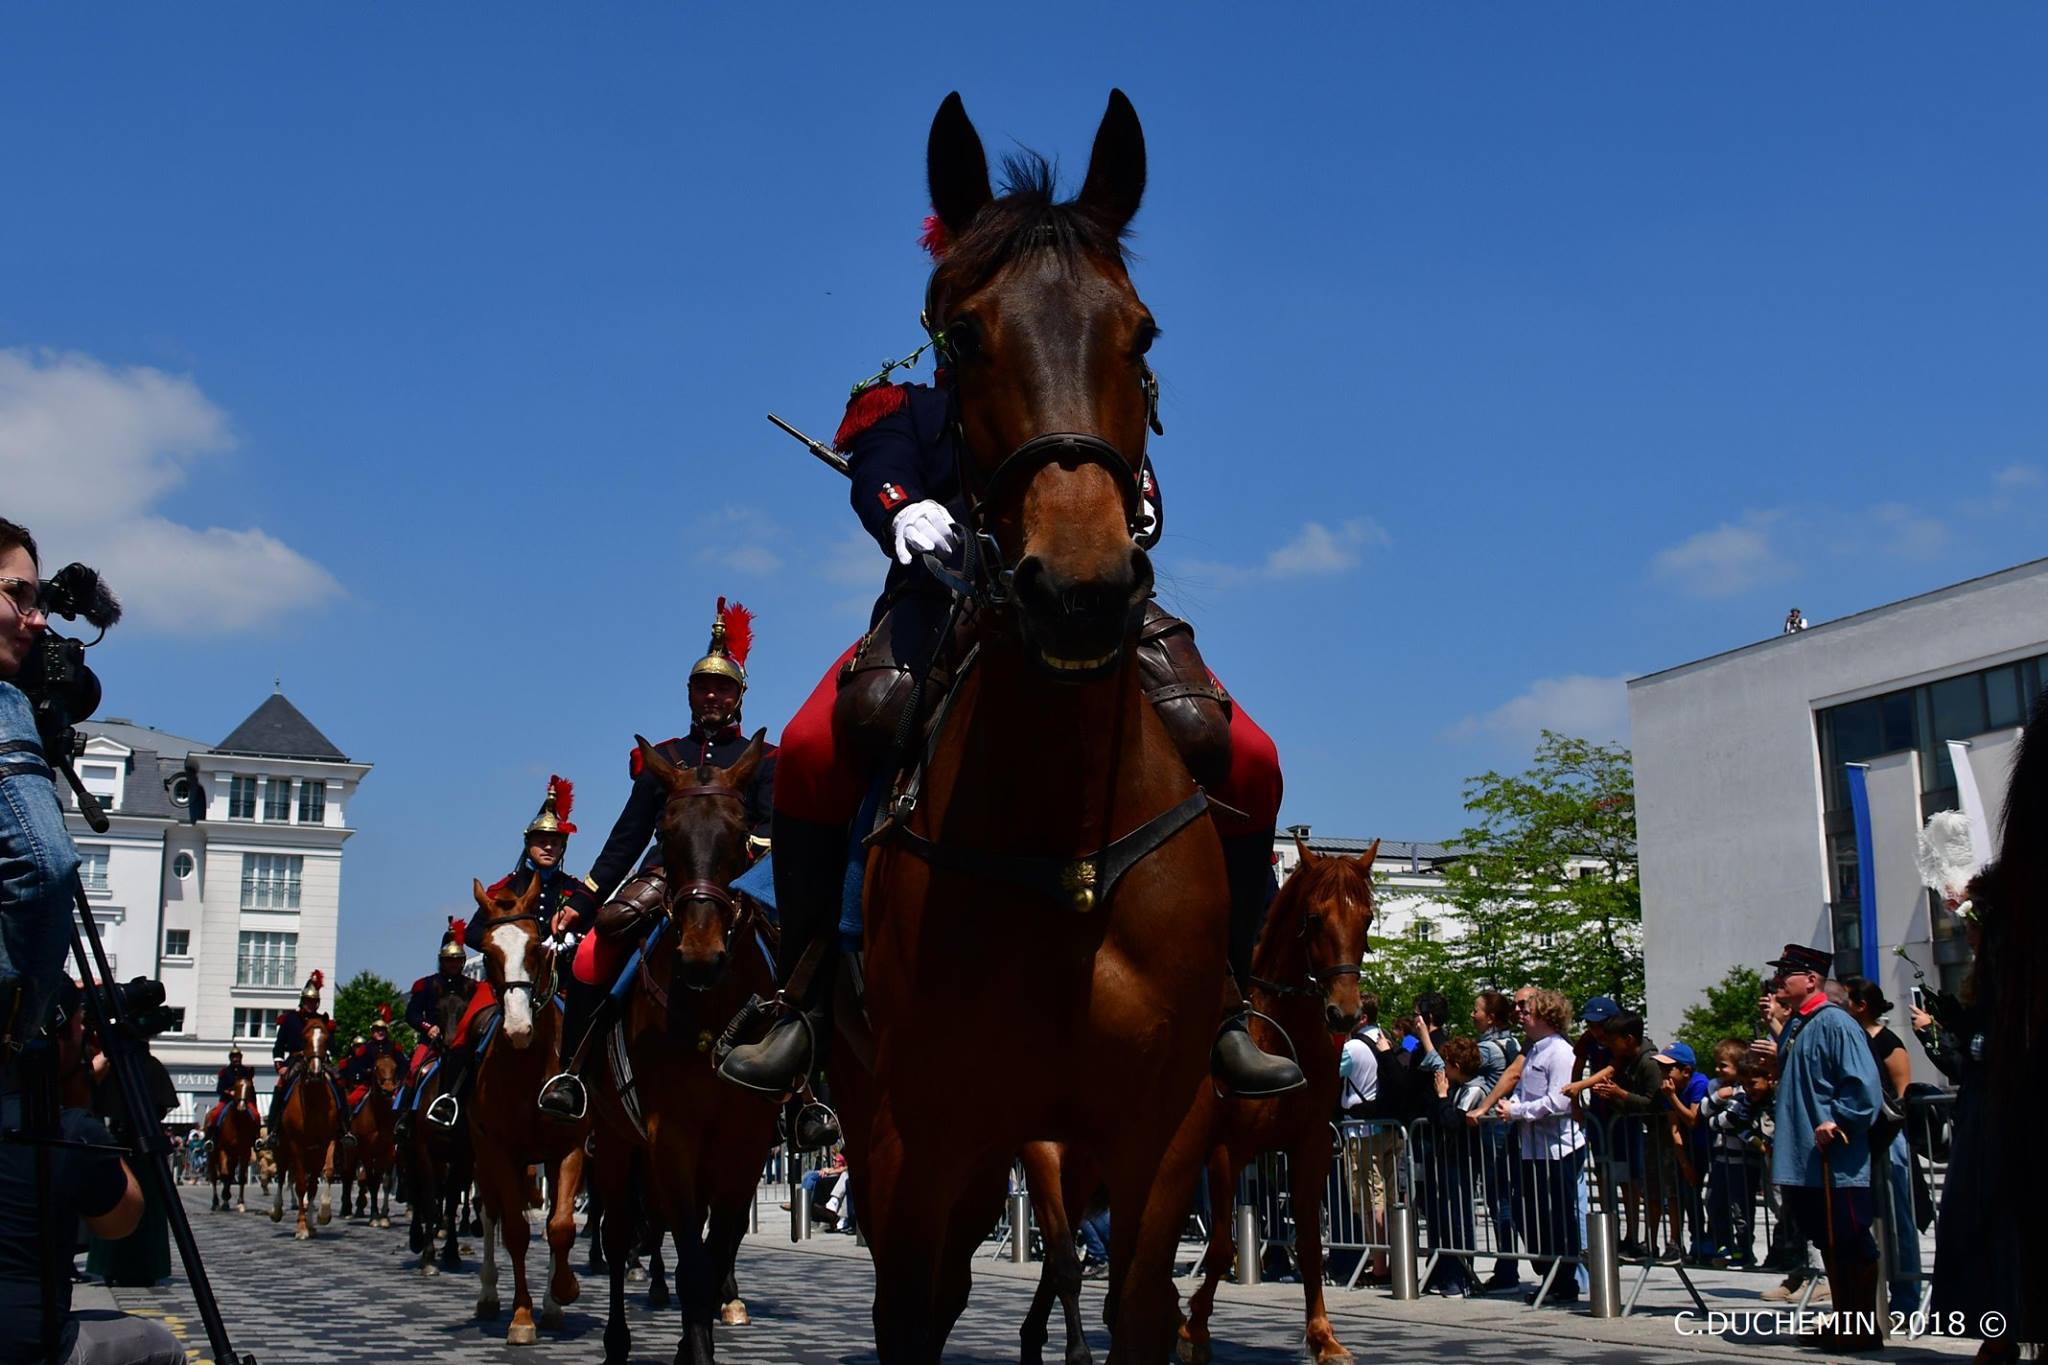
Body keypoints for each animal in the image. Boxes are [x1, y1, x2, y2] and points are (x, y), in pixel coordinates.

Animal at [208, 1080, 258, 1219]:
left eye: (250, 1088)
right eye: (236, 1087)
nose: (242, 1106)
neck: (237, 1123)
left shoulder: (245, 1152)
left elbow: (240, 1176)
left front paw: (240, 1203)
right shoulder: (223, 1150)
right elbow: (224, 1175)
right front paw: (225, 1196)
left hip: (234, 1156)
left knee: (229, 1174)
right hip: (212, 1155)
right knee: (214, 1176)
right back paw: (215, 1202)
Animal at [270, 1023, 342, 1236]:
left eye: (326, 1039)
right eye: (304, 1039)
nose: (316, 1072)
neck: (314, 1101)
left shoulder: (327, 1142)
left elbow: (322, 1177)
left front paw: (322, 1215)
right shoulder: (295, 1144)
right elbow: (301, 1184)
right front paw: (301, 1227)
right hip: (282, 1147)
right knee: (282, 1174)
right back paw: (277, 1210)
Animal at [468, 875, 589, 1342]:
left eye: (537, 946)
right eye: (488, 953)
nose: (519, 1028)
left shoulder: (569, 1149)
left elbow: (561, 1225)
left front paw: (562, 1291)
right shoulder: (500, 1150)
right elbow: (517, 1232)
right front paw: (521, 1318)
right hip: (483, 1158)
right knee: (489, 1215)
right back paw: (488, 1295)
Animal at [593, 736, 782, 1365]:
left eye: (741, 830)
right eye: (665, 831)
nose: (701, 957)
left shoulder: (746, 1137)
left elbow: (717, 1245)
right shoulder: (669, 1135)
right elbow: (691, 1257)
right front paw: (693, 1346)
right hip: (613, 1140)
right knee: (618, 1231)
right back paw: (617, 1340)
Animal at [831, 90, 1228, 1358]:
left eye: (1140, 334)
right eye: (961, 337)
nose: (1081, 590)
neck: (1063, 845)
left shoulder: (1162, 1137)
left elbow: (1142, 1305)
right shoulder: (924, 1133)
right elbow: (910, 1307)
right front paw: (921, 528)